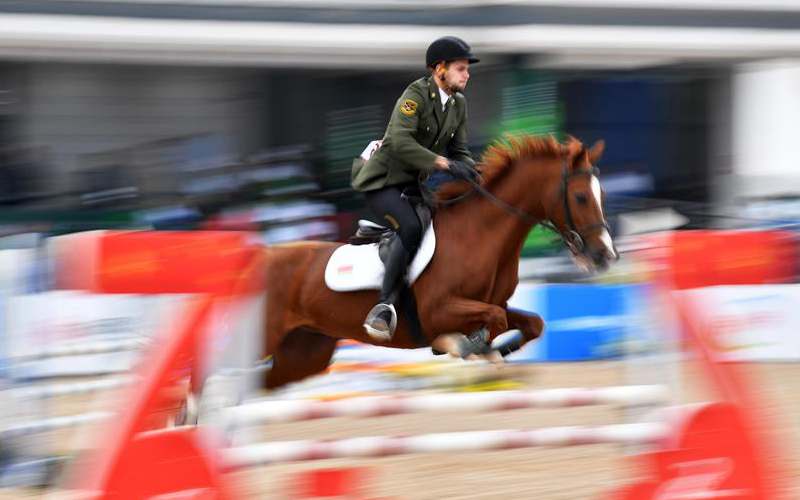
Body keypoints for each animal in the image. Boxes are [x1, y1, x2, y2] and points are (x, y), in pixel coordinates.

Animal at [260, 135, 616, 388]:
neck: (480, 234)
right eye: (581, 197)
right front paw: (461, 345)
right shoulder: (438, 310)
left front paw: (494, 352)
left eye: (602, 196)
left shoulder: (492, 302)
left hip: (304, 353)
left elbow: (530, 323)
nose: (605, 256)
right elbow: (494, 320)